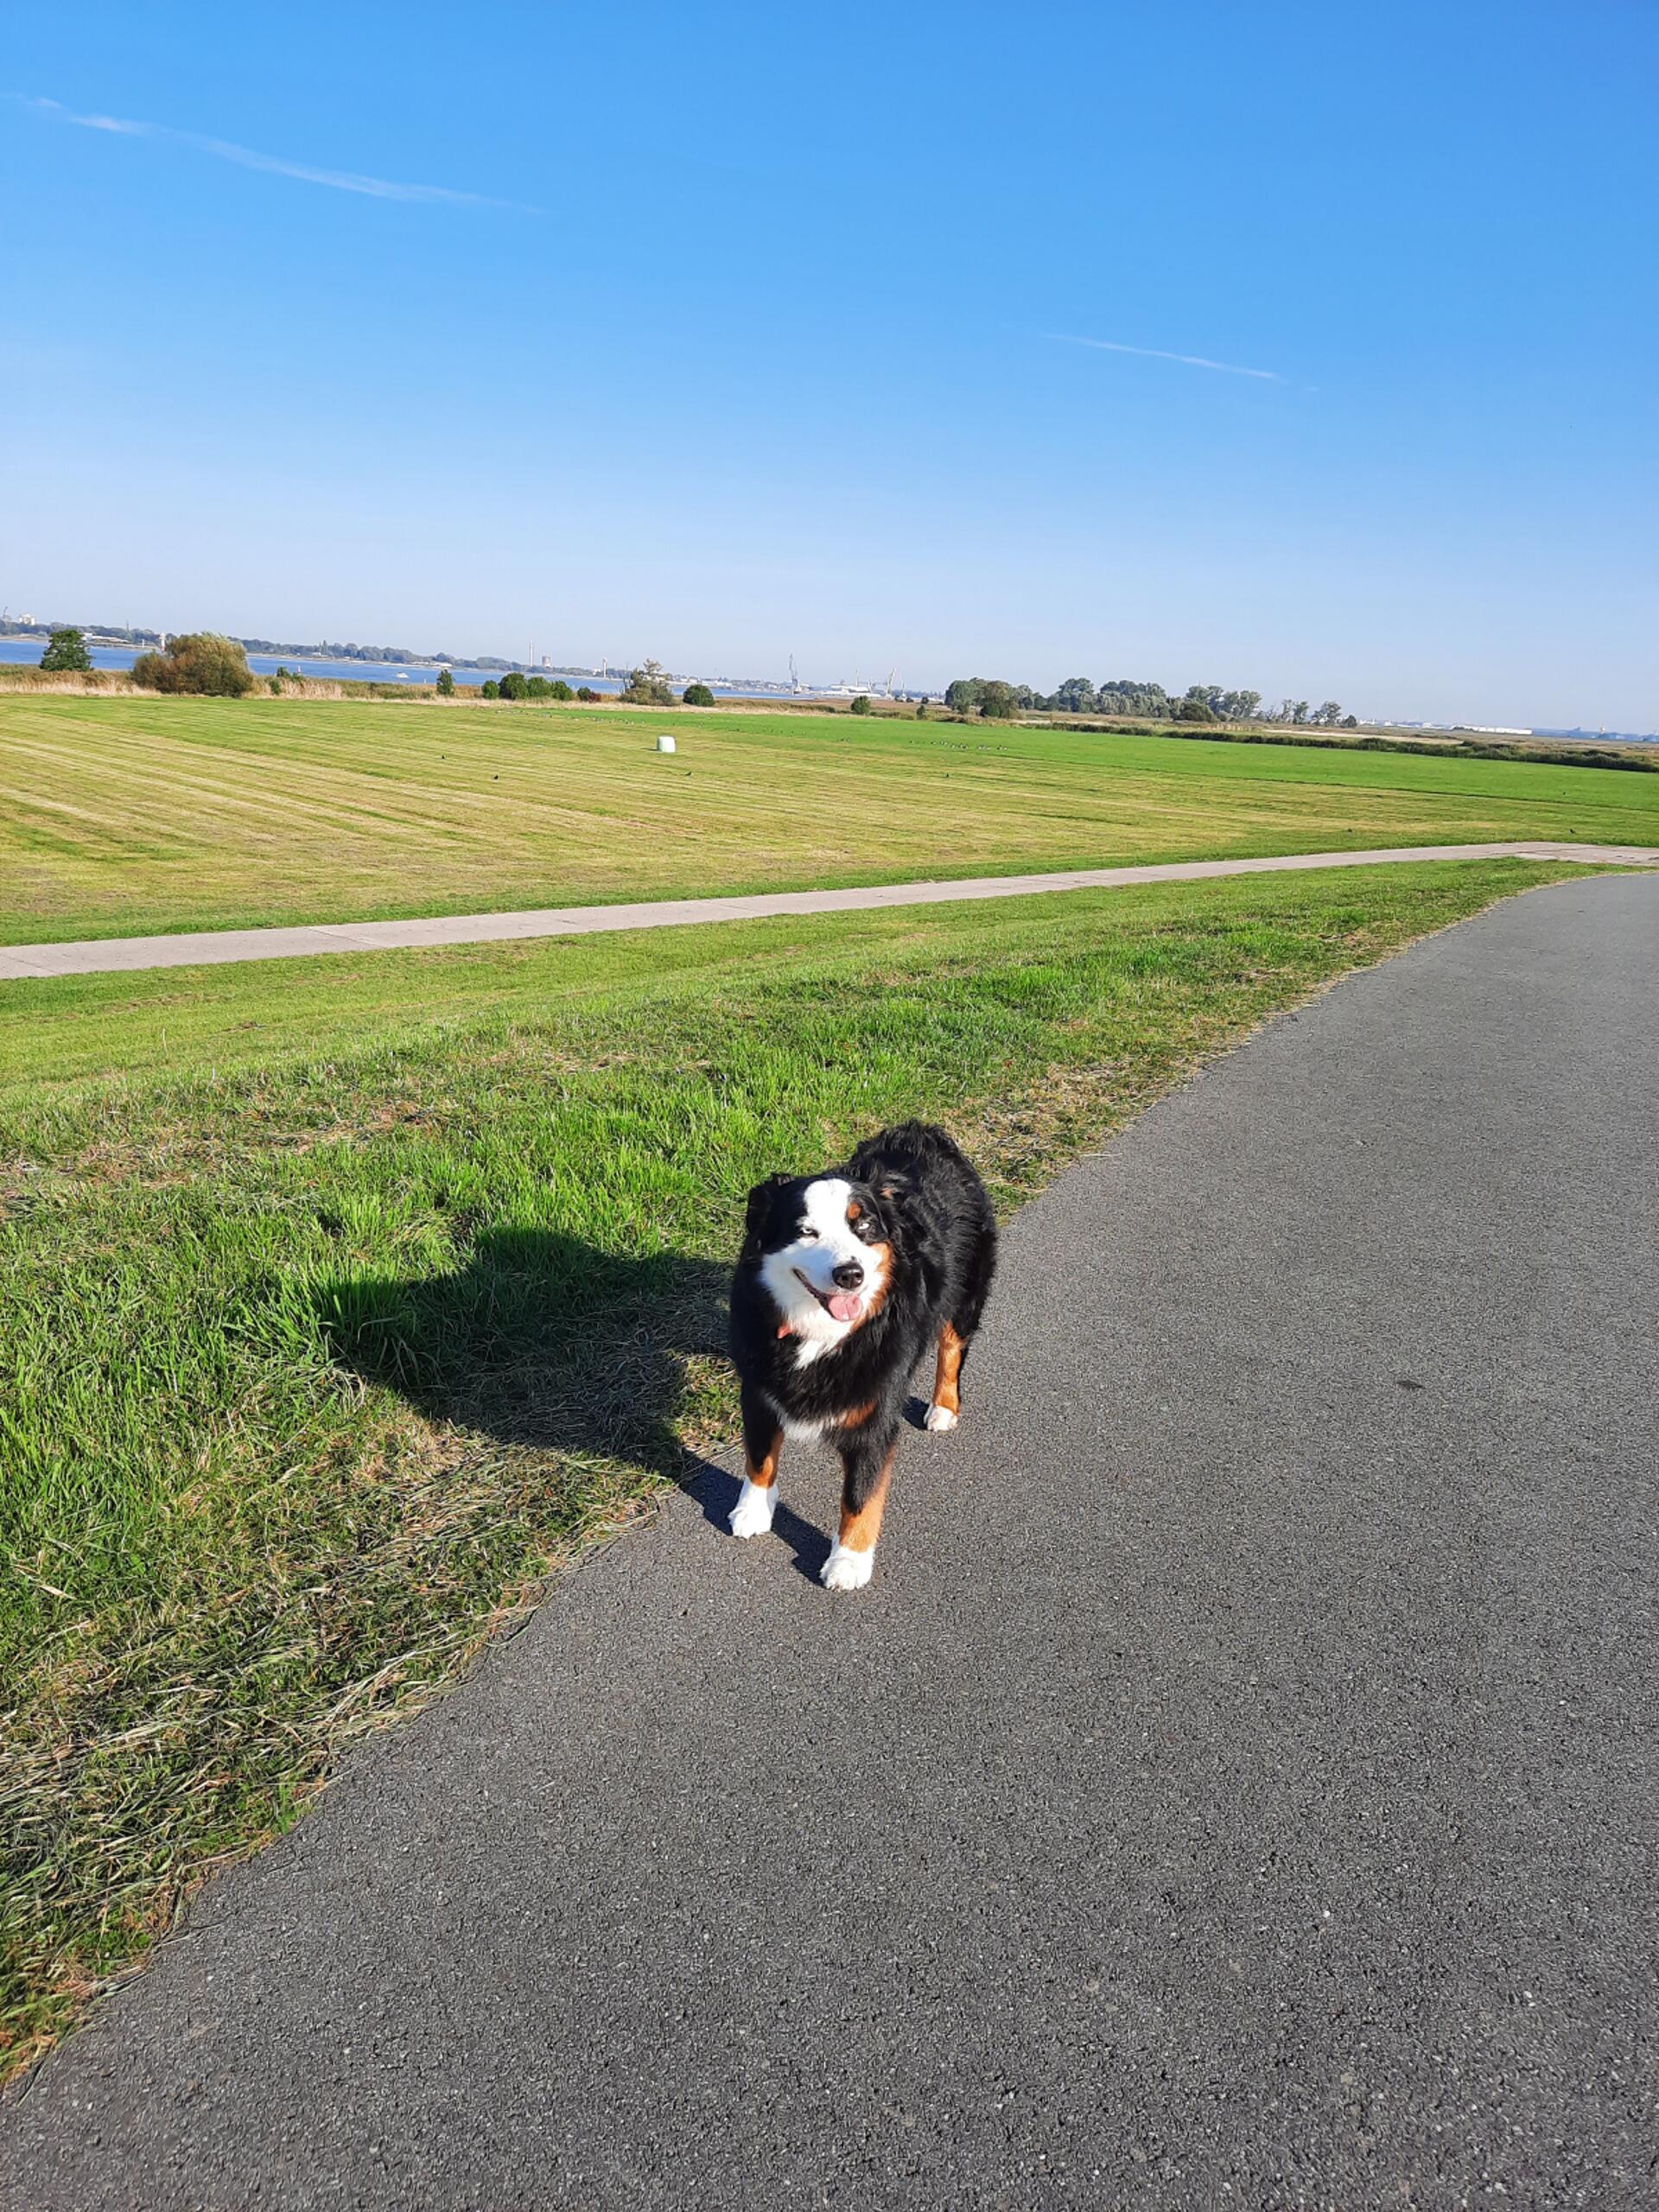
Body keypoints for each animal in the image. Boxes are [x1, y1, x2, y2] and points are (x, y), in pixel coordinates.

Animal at [729, 1123, 1000, 1592]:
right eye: (806, 1231)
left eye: (866, 1226)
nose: (850, 1275)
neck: (819, 1335)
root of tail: (924, 1131)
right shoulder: (759, 1389)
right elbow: (760, 1456)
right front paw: (754, 1510)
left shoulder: (876, 1413)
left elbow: (860, 1495)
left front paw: (849, 1562)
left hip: (965, 1292)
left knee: (951, 1347)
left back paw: (944, 1407)